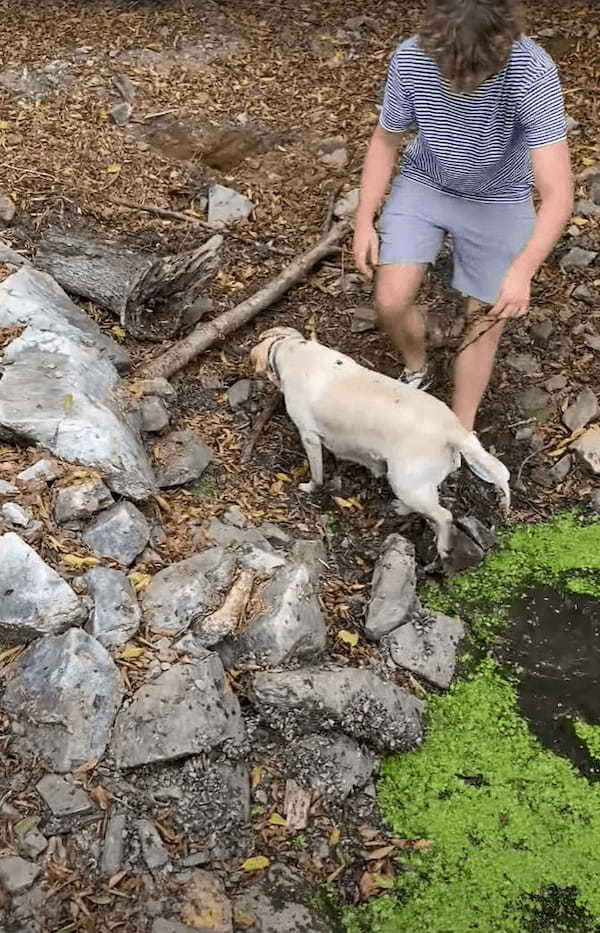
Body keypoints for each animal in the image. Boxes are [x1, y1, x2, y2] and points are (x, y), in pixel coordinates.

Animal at [247, 328, 506, 560]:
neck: (292, 350)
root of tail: (453, 430)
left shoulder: (309, 435)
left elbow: (316, 473)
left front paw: (310, 487)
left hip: (406, 481)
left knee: (444, 516)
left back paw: (442, 547)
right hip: (412, 483)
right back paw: (402, 508)